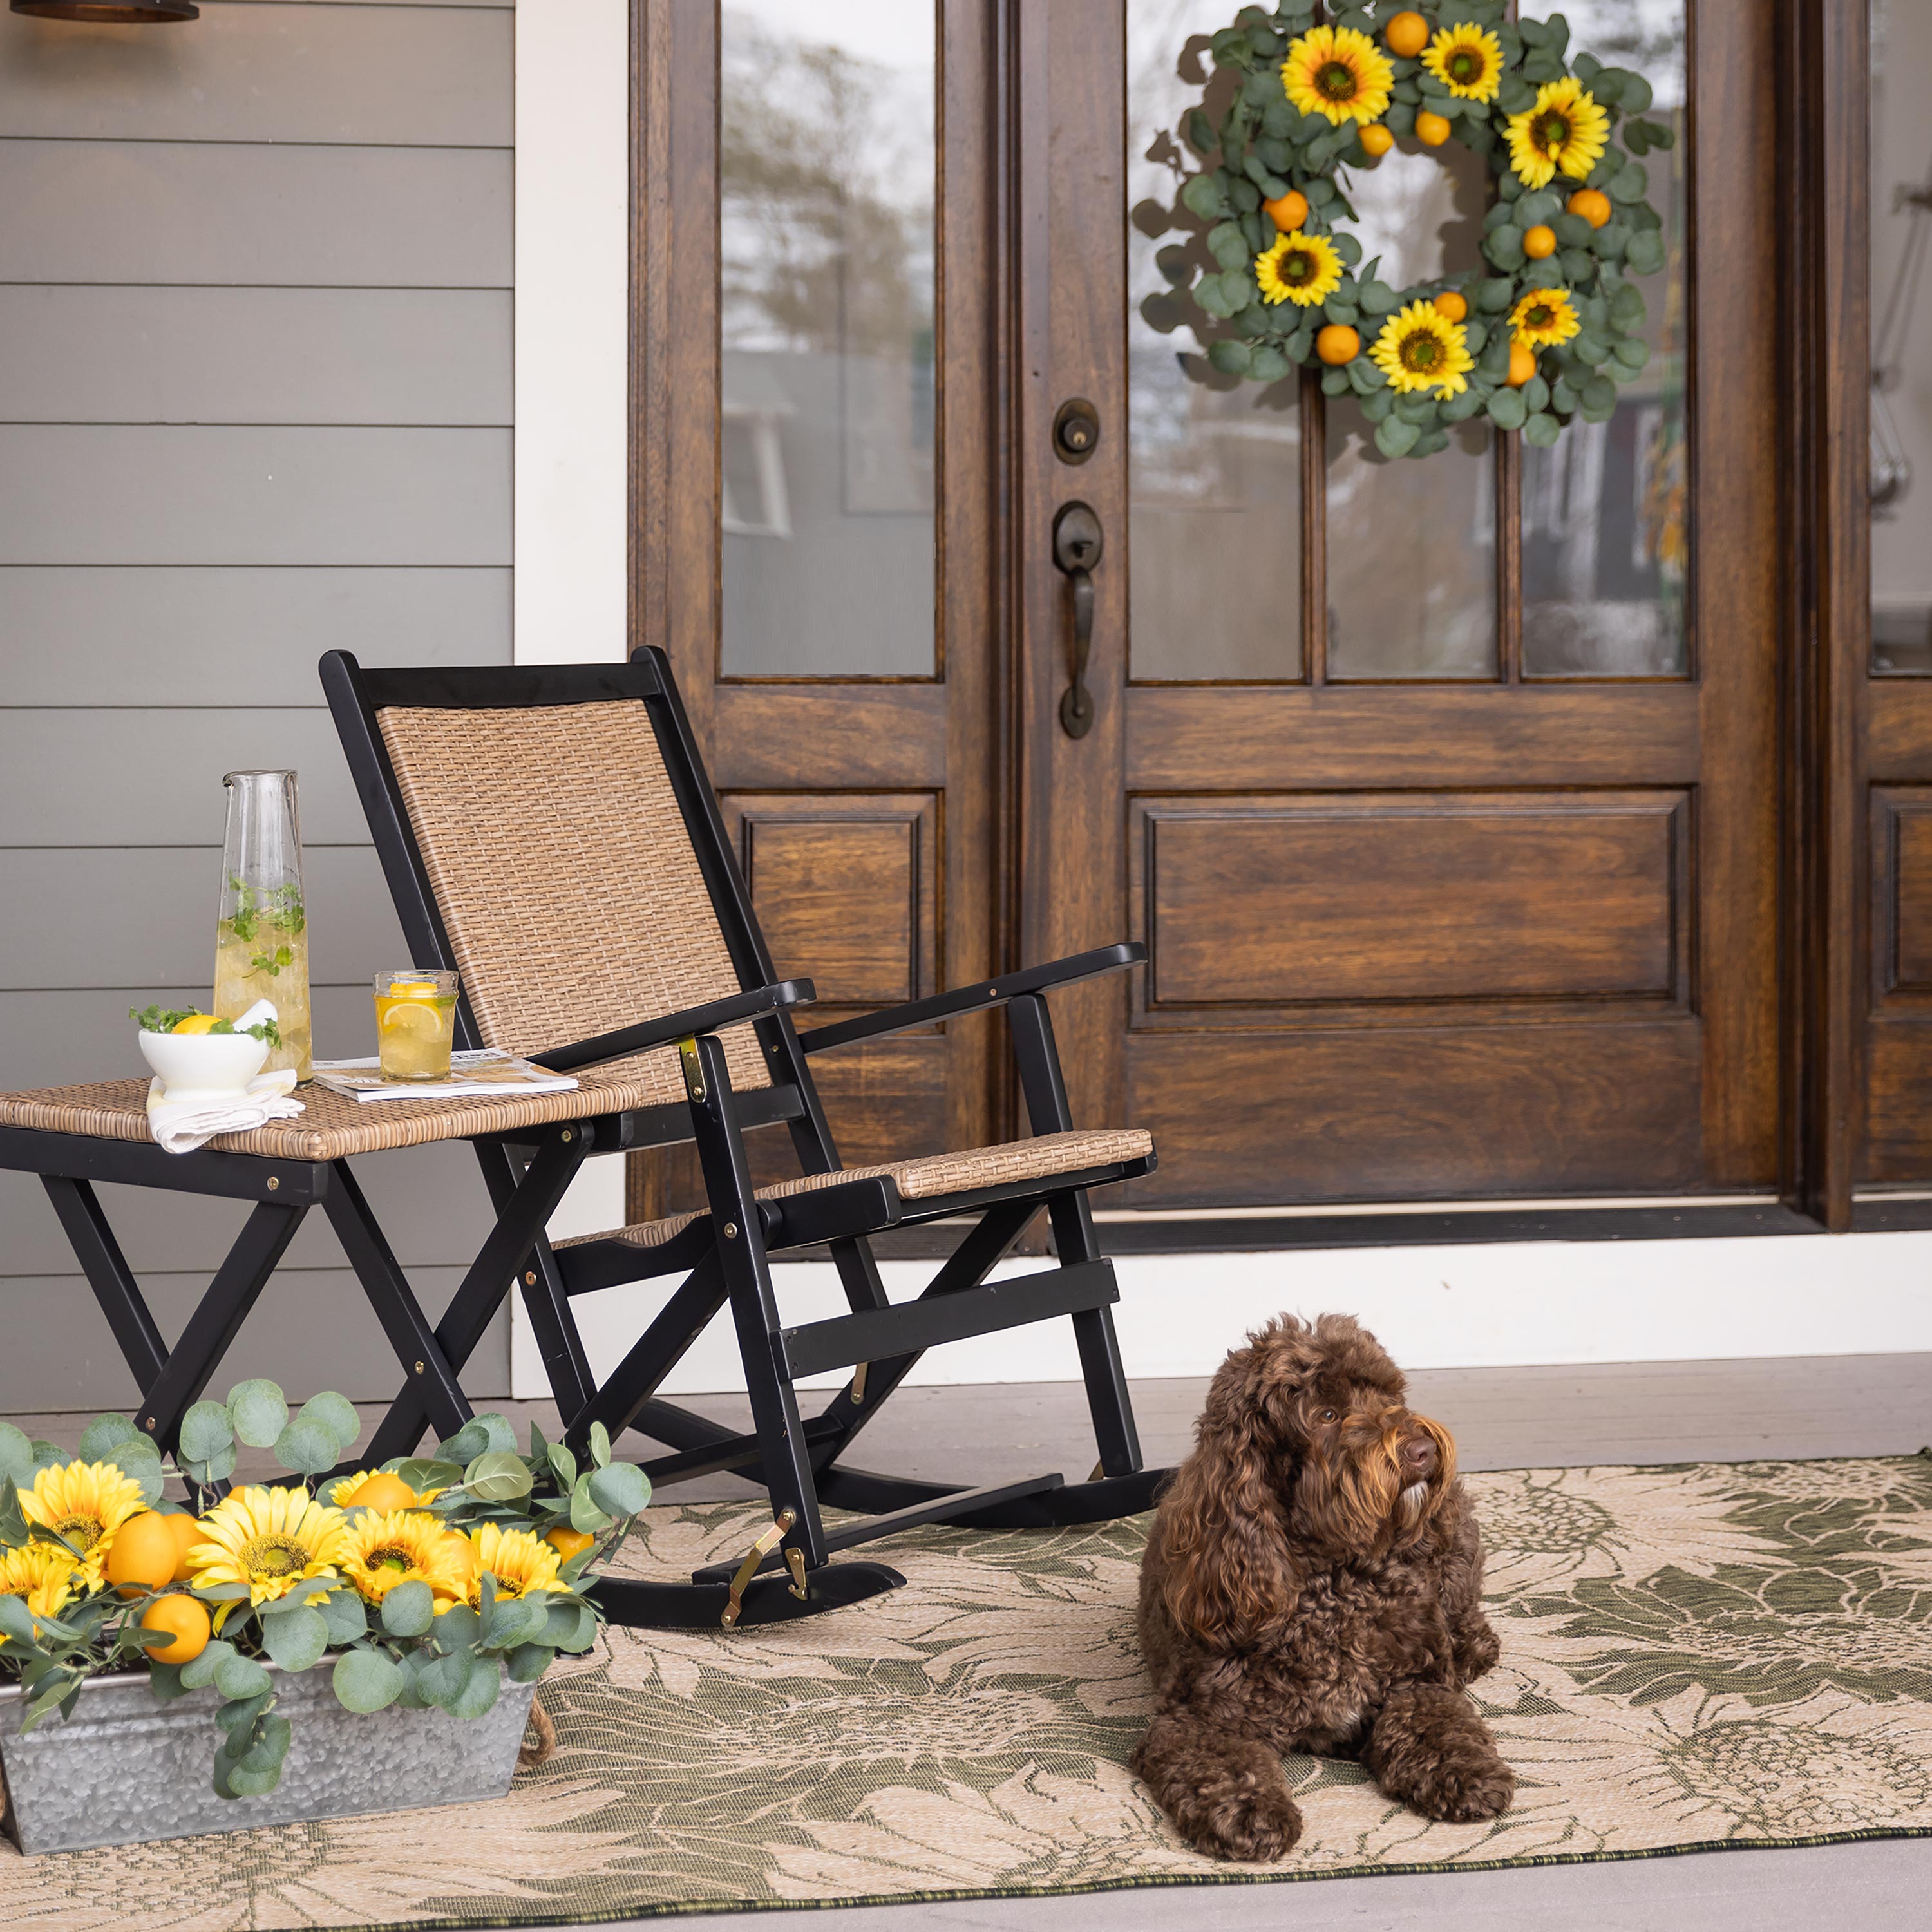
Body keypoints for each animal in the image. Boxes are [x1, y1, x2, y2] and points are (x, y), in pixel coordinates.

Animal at [1128, 1314, 1515, 1855]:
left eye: (1389, 1395)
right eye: (1328, 1415)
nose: (1421, 1450)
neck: (1333, 1581)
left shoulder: (1414, 1683)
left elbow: (1437, 1721)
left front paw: (1464, 1770)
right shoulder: (1197, 1719)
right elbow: (1223, 1765)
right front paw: (1251, 1810)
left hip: (1453, 1538)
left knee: (1469, 1618)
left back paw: (1468, 1649)